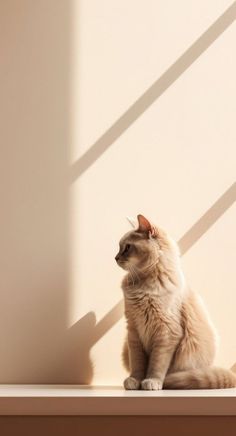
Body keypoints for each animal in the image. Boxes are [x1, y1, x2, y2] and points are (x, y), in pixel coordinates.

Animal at [115, 216, 235, 390]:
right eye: (119, 247)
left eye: (128, 247)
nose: (115, 257)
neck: (144, 284)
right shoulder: (133, 331)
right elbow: (137, 363)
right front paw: (135, 380)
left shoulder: (167, 333)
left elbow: (157, 364)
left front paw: (152, 381)